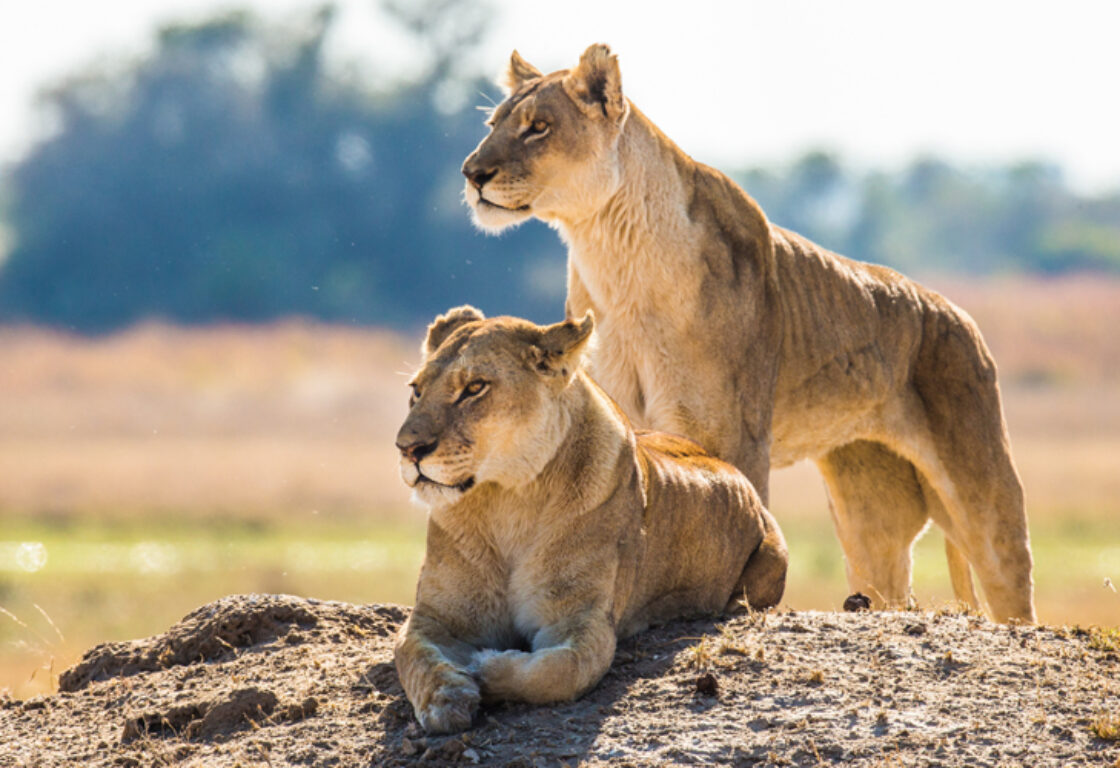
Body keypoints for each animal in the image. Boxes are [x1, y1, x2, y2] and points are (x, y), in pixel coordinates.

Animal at [393, 306, 788, 733]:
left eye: (475, 387)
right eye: (416, 390)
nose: (407, 449)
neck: (507, 501)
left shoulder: (583, 621)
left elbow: (559, 669)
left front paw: (486, 666)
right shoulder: (436, 616)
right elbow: (414, 657)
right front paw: (445, 699)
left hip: (770, 561)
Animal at [460, 44, 1035, 623]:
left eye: (539, 127)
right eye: (493, 124)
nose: (472, 172)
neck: (613, 255)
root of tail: (953, 312)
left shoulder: (734, 435)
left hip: (981, 489)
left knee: (1011, 588)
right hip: (871, 515)